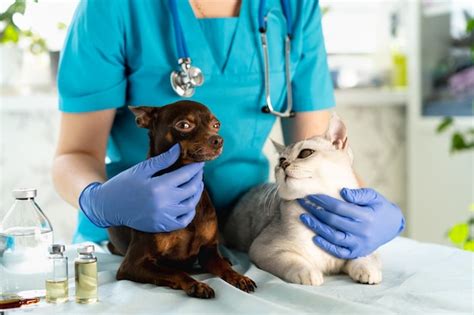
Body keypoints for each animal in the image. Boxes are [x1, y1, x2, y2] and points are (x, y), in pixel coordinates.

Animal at [107, 100, 256, 298]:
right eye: (184, 125)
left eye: (216, 125)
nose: (218, 139)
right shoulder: (132, 264)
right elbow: (175, 271)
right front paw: (196, 284)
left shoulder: (208, 252)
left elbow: (223, 267)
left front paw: (239, 277)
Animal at [224, 114, 384, 286]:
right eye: (281, 160)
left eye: (305, 153)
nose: (284, 164)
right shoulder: (263, 248)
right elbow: (292, 260)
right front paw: (308, 272)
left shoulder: (361, 242)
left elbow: (364, 255)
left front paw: (367, 269)